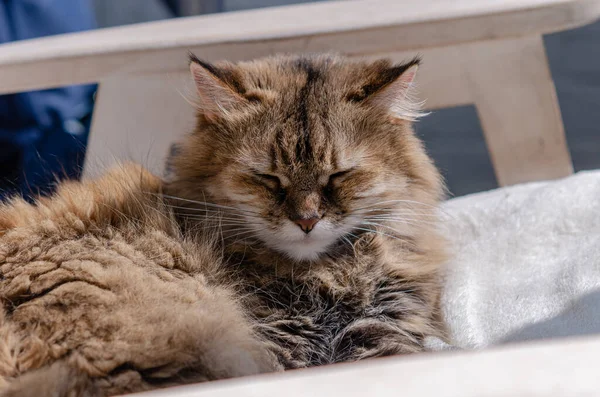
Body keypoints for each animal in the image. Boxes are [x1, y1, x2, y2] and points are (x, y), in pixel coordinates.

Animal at [0, 53, 446, 396]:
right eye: (268, 179)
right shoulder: (281, 341)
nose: (306, 220)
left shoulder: (379, 326)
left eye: (338, 176)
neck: (323, 274)